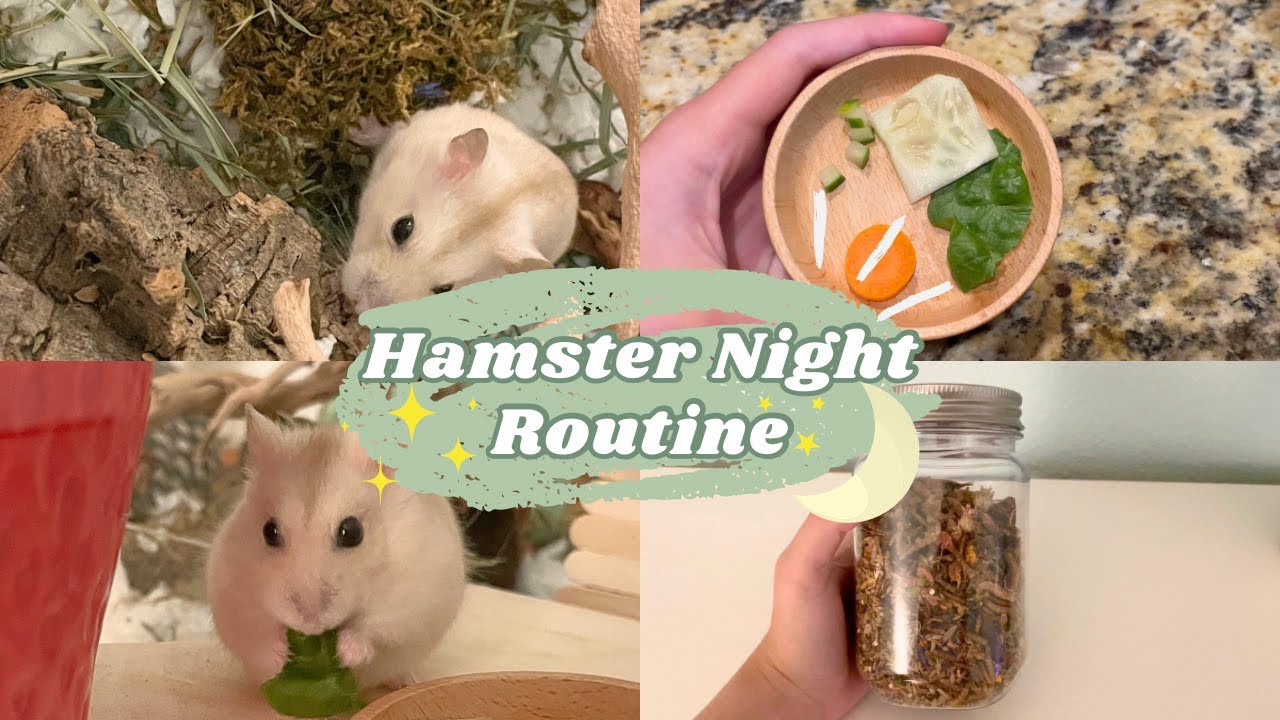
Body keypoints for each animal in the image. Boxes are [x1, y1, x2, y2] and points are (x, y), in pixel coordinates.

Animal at [206, 408, 467, 690]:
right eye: (269, 532)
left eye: (352, 532)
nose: (310, 622)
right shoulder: (234, 599)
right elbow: (259, 633)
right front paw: (281, 654)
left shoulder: (410, 600)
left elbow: (373, 628)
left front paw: (348, 653)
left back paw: (406, 682)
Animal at [341, 104, 579, 314]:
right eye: (402, 228)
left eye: (444, 289)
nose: (356, 305)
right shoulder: (402, 138)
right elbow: (390, 129)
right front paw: (356, 124)